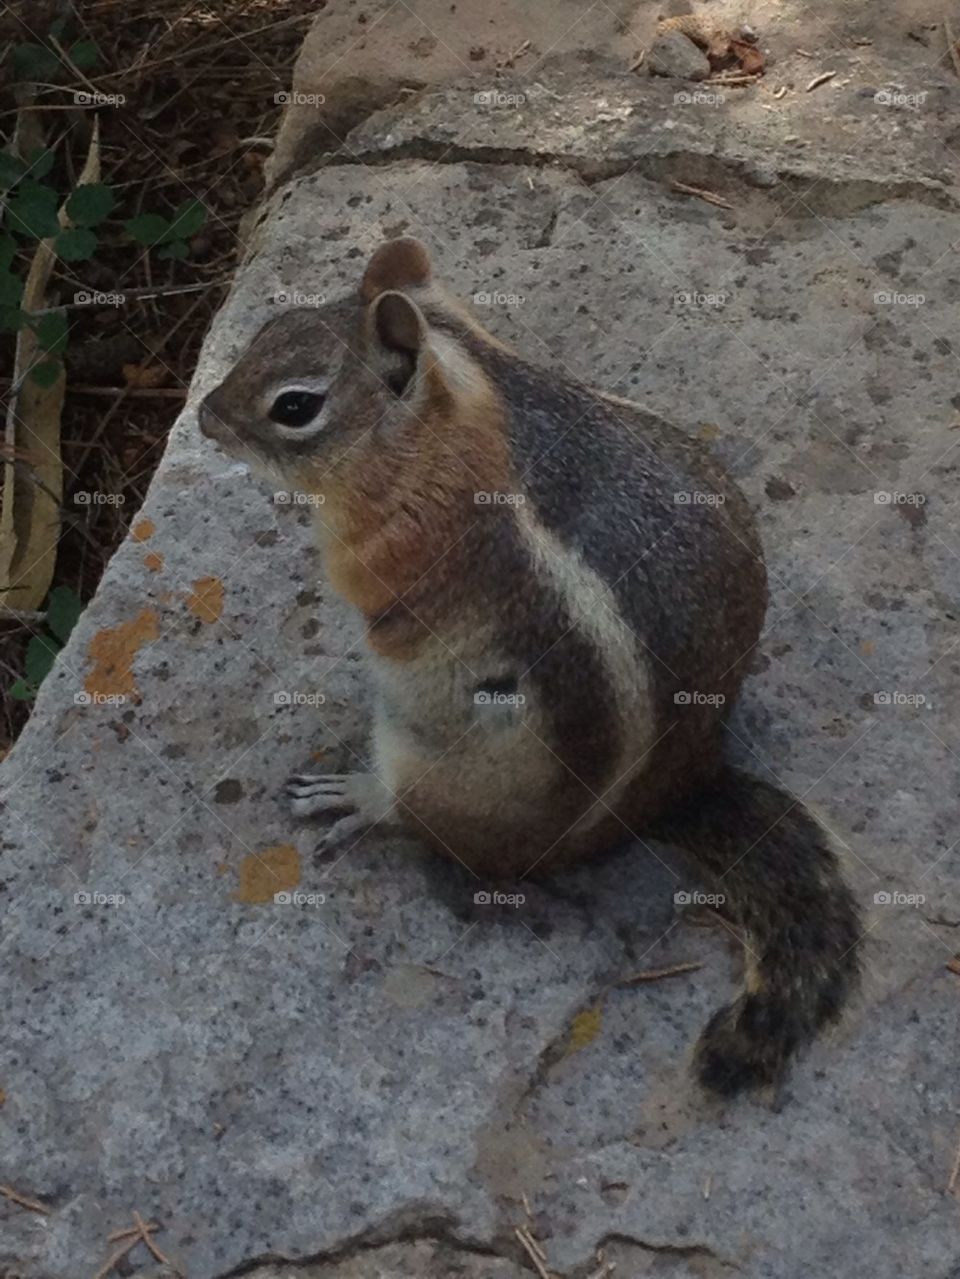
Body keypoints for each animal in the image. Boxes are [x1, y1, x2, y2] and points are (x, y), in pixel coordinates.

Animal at [199, 236, 861, 1098]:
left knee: (414, 815)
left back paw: (356, 794)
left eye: (294, 406)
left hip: (438, 770)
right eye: (268, 327)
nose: (205, 417)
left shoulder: (385, 550)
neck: (471, 394)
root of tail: (680, 788)